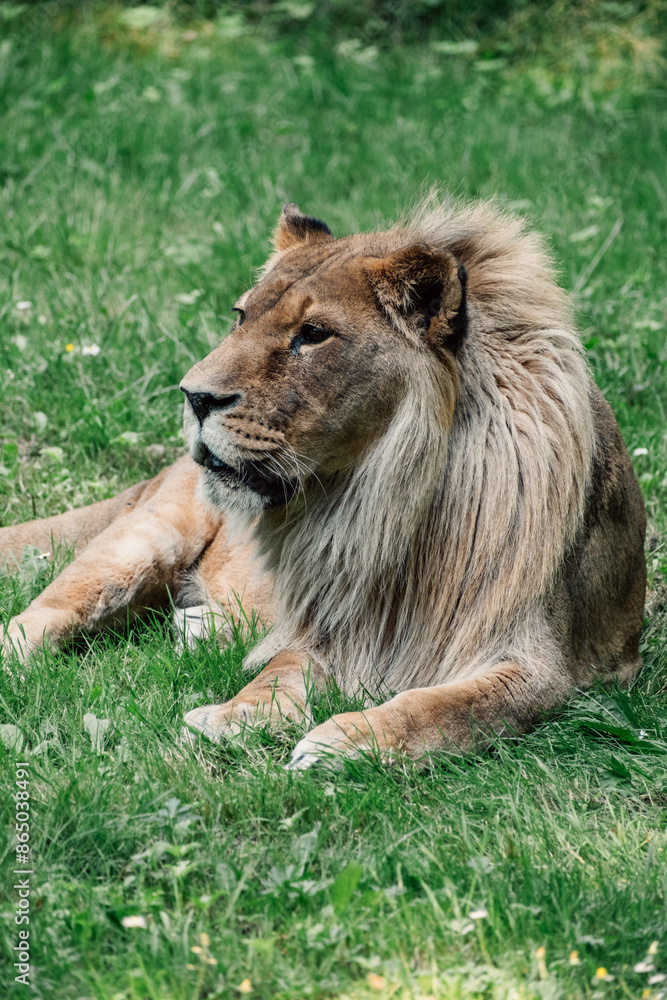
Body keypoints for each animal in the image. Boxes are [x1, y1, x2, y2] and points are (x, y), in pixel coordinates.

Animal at [0, 198, 646, 768]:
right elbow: (280, 673)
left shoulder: (547, 665)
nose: (193, 396)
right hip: (142, 541)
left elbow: (452, 708)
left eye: (312, 334)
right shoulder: (330, 626)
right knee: (33, 622)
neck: (385, 504)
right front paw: (230, 718)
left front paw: (348, 741)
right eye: (241, 317)